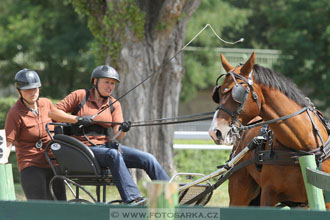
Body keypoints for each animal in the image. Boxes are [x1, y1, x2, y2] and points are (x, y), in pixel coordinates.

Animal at [209, 52, 330, 207]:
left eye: (237, 93)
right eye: (218, 94)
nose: (215, 132)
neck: (302, 147)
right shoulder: (268, 194)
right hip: (240, 190)